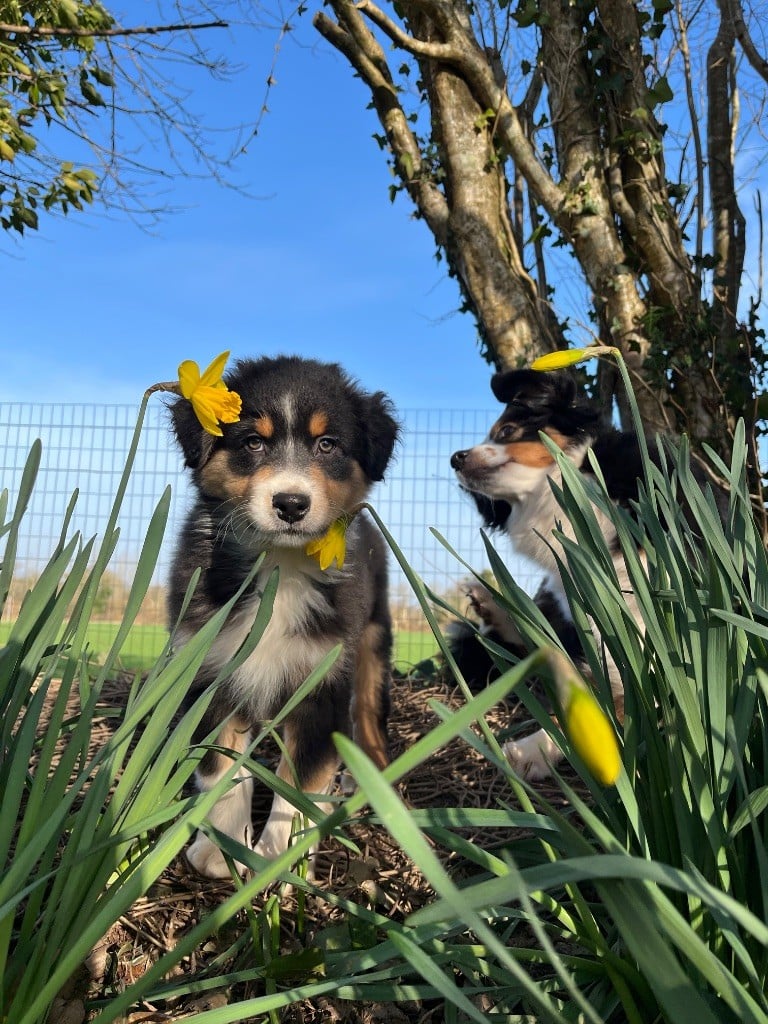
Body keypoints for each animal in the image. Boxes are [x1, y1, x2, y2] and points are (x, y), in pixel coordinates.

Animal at [171, 356, 399, 876]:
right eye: (253, 443)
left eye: (327, 444)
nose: (291, 504)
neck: (280, 567)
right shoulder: (214, 671)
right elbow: (222, 769)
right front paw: (221, 851)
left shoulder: (323, 682)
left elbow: (301, 780)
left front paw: (281, 857)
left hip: (372, 641)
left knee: (368, 715)